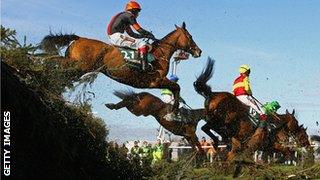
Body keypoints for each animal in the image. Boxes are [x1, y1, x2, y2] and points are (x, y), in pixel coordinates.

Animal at [39, 22, 200, 111]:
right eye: (190, 37)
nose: (199, 51)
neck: (160, 53)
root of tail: (79, 38)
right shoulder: (157, 80)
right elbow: (176, 86)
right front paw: (174, 108)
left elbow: (175, 87)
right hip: (79, 66)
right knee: (58, 68)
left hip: (77, 67)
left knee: (61, 73)